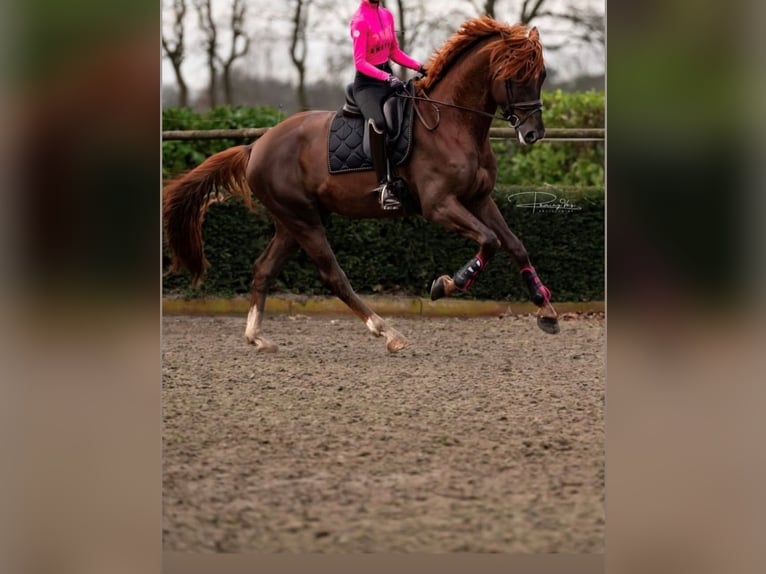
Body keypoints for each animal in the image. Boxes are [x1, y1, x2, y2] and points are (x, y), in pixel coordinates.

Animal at [164, 16, 560, 356]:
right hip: (304, 219)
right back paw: (387, 332)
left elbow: (515, 245)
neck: (453, 123)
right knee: (333, 275)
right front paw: (447, 284)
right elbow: (489, 242)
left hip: (292, 221)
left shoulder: (479, 200)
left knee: (264, 269)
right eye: (515, 76)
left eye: (540, 74)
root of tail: (256, 147)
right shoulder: (440, 205)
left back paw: (257, 337)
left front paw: (546, 309)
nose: (533, 134)